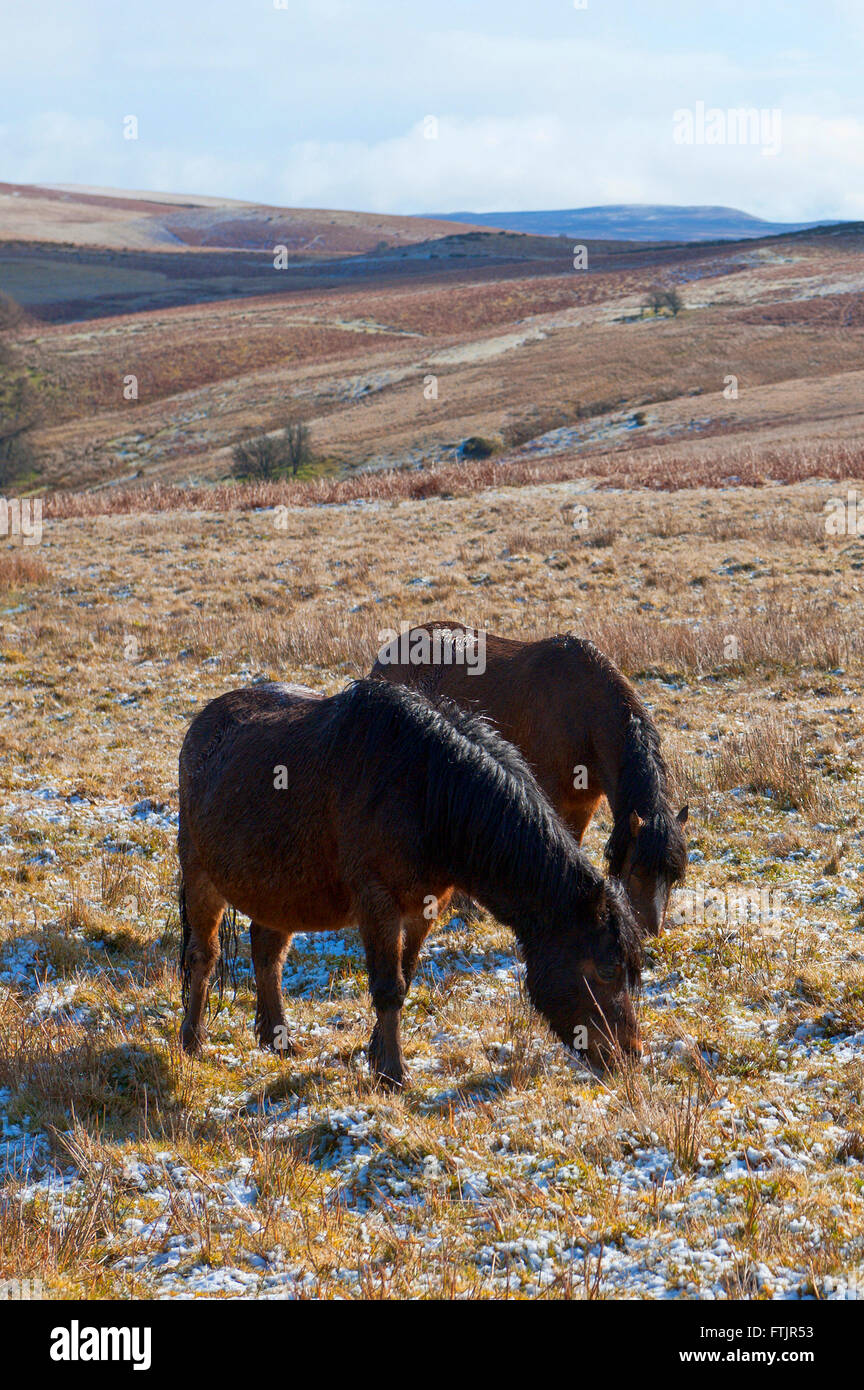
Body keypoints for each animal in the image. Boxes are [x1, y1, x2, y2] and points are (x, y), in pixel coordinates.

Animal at [179, 675, 647, 1084]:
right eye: (608, 969)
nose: (629, 1055)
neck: (425, 791)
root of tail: (204, 723)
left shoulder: (426, 905)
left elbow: (404, 977)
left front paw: (376, 1055)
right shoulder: (378, 903)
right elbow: (388, 986)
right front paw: (392, 1074)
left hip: (280, 890)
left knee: (267, 954)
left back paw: (276, 1038)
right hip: (200, 875)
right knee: (203, 956)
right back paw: (192, 1043)